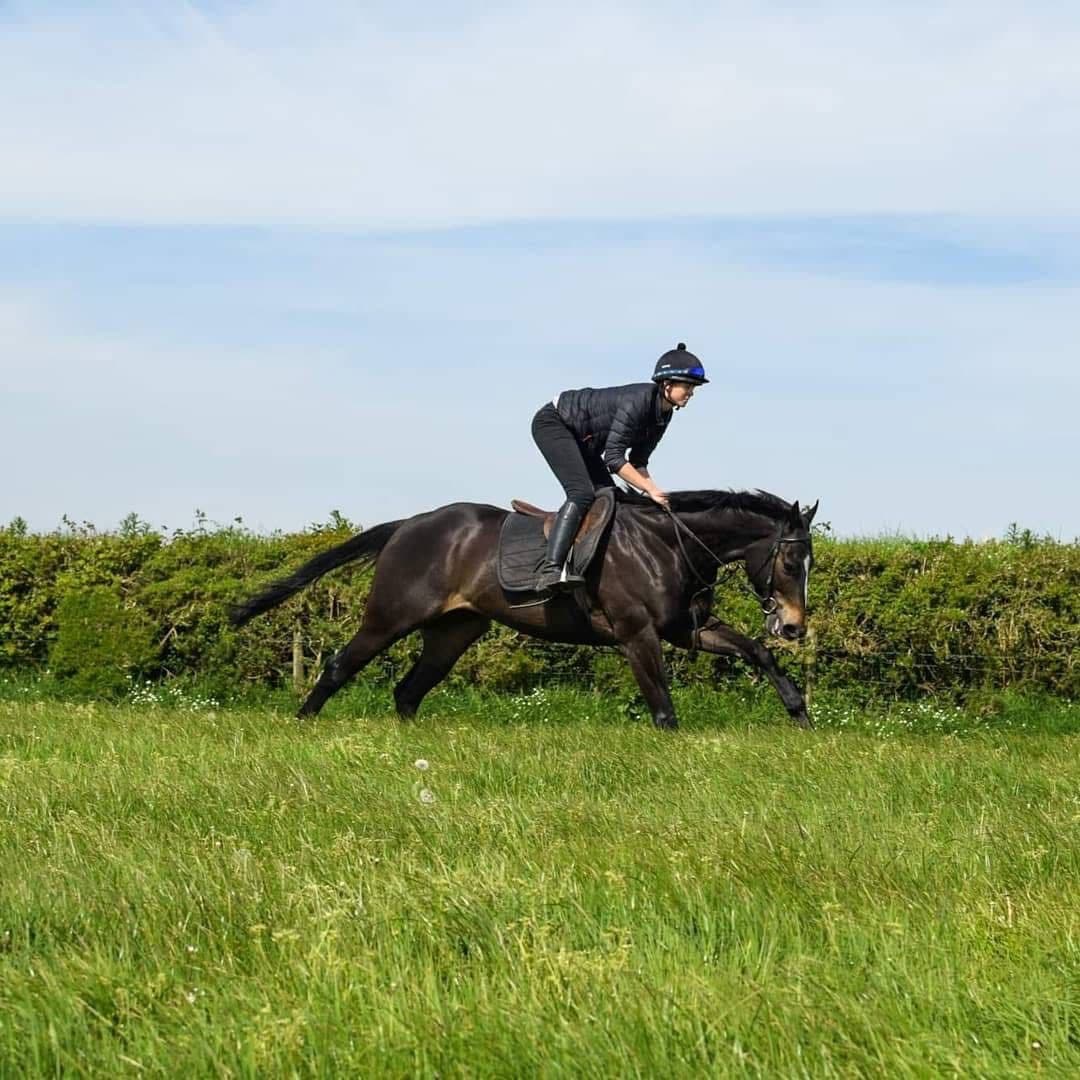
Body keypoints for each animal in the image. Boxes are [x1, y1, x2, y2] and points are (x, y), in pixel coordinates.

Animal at [230, 490, 819, 729]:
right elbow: (663, 705)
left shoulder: (686, 628)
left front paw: (800, 714)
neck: (670, 544)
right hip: (390, 617)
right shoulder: (637, 633)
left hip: (455, 631)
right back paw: (303, 724)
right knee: (339, 666)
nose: (793, 625)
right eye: (792, 562)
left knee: (409, 690)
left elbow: (757, 652)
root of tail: (407, 525)